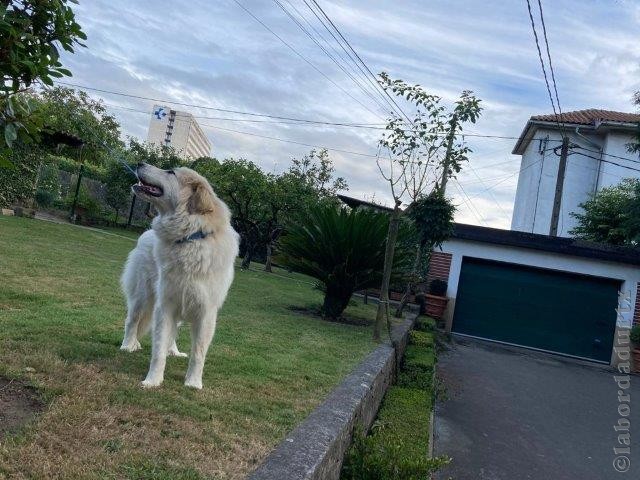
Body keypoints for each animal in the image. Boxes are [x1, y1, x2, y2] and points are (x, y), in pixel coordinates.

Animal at [120, 163, 240, 388]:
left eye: (171, 172)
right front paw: (153, 381)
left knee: (172, 333)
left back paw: (173, 351)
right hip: (143, 296)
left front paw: (193, 383)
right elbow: (158, 350)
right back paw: (127, 345)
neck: (190, 238)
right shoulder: (165, 306)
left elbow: (198, 353)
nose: (140, 163)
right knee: (132, 320)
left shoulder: (205, 313)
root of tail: (146, 234)